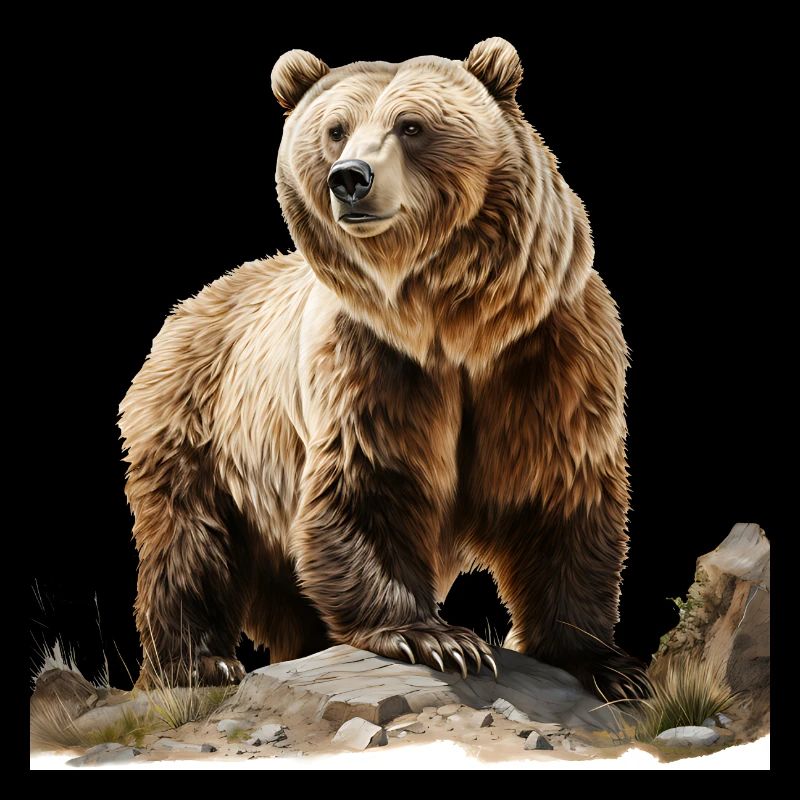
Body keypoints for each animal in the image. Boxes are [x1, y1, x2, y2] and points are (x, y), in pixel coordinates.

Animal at [119, 38, 642, 699]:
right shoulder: (370, 361)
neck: (451, 323)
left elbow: (560, 492)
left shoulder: (546, 351)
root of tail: (190, 307)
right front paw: (437, 639)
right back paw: (199, 662)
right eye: (336, 129)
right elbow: (369, 480)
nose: (350, 178)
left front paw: (607, 665)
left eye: (412, 125)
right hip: (201, 428)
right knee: (189, 543)